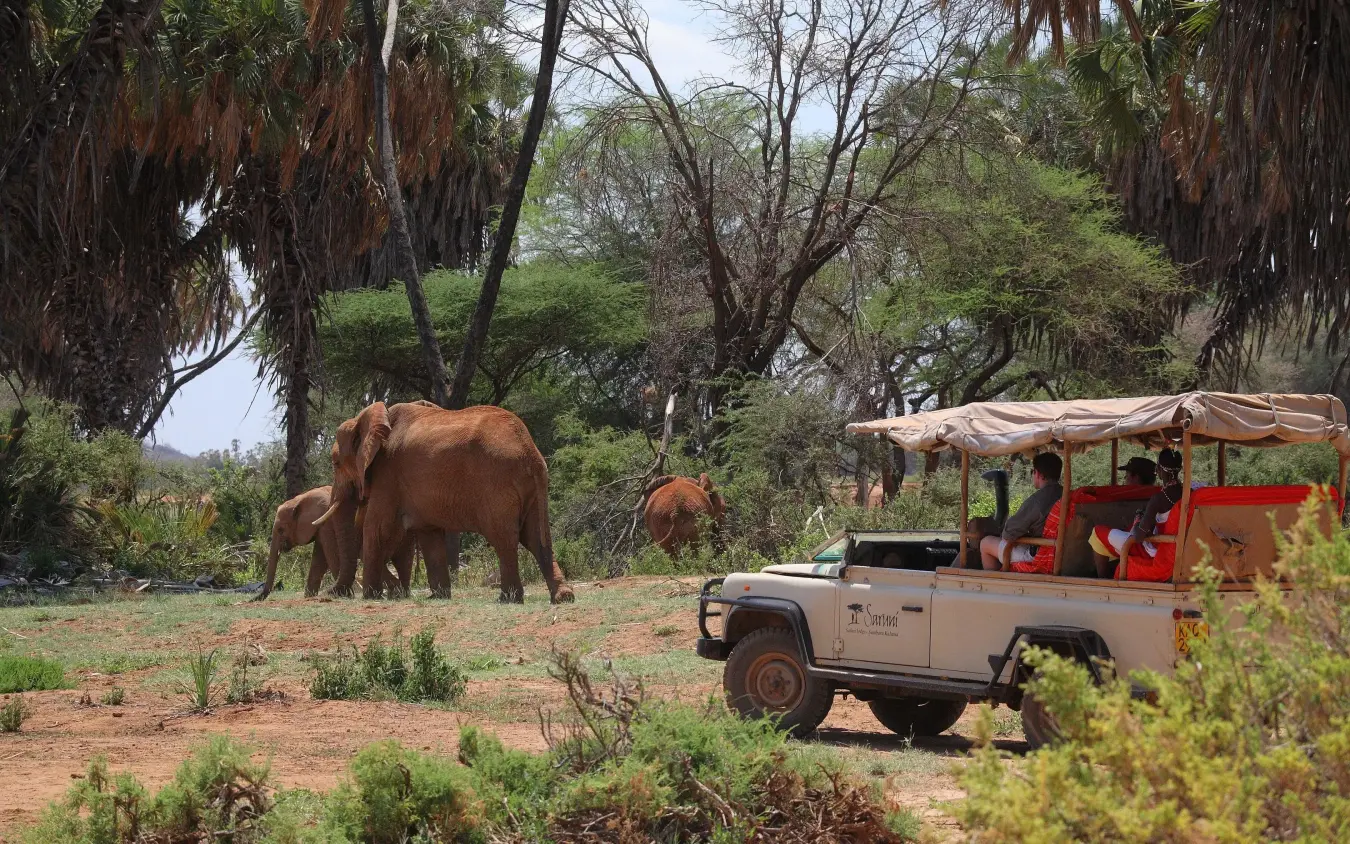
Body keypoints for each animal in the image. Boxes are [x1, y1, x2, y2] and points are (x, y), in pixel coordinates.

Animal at [257, 486, 417, 601]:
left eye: (280, 530)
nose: (255, 598)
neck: (300, 499)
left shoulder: (326, 522)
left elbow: (331, 555)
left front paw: (345, 594)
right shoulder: (320, 527)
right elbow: (319, 559)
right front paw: (309, 596)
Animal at [313, 401, 573, 604]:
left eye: (336, 463)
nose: (331, 594)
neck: (375, 417)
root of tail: (531, 452)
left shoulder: (388, 474)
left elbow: (377, 528)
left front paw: (371, 596)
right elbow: (429, 535)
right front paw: (437, 597)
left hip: (496, 482)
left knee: (504, 538)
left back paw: (508, 599)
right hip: (529, 487)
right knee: (536, 537)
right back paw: (563, 596)